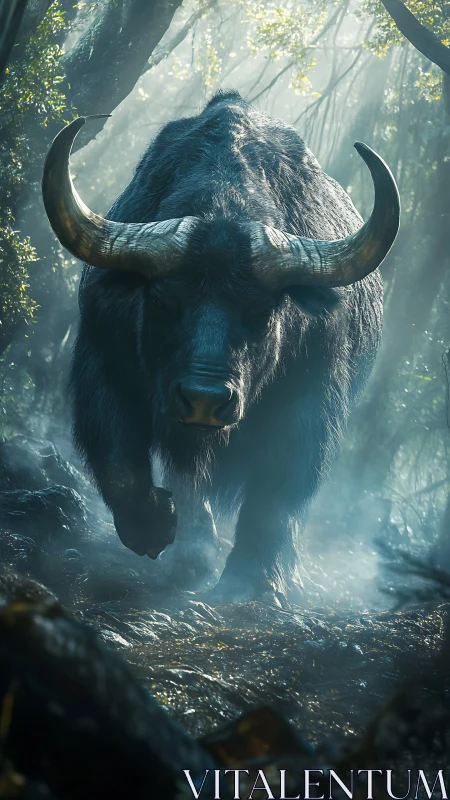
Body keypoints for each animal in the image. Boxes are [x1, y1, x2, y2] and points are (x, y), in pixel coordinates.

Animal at [42, 91, 399, 604]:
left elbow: (275, 495)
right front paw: (156, 528)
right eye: (163, 300)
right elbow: (122, 466)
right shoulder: (103, 362)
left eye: (262, 313)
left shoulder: (310, 402)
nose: (205, 400)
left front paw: (254, 580)